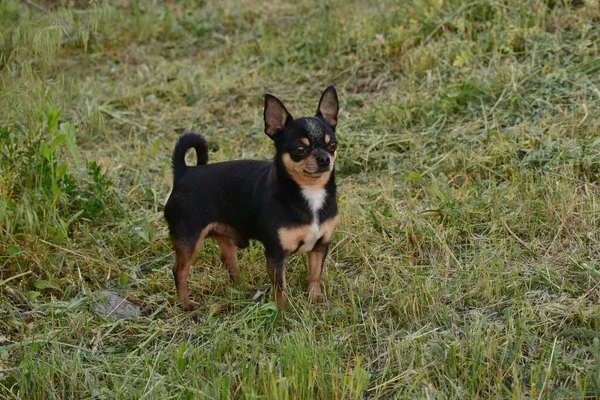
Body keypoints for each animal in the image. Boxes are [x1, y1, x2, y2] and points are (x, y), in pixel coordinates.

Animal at [164, 86, 340, 310]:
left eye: (332, 145)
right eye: (299, 150)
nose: (324, 159)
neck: (310, 191)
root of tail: (184, 172)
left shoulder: (319, 247)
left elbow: (315, 276)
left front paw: (316, 301)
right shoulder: (276, 254)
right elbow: (280, 287)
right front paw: (283, 312)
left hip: (222, 236)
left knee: (229, 260)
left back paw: (241, 289)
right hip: (189, 240)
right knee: (179, 270)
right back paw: (186, 303)